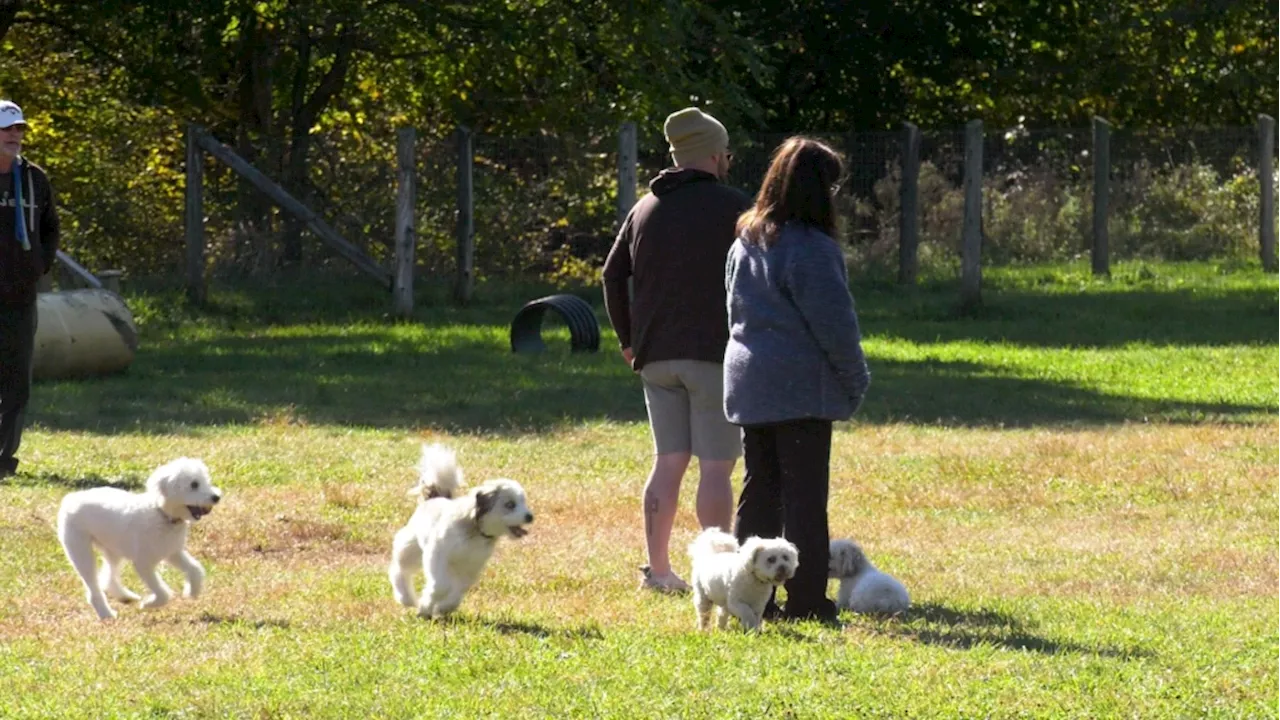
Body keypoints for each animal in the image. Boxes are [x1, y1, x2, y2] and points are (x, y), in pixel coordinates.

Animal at [57, 453, 224, 617]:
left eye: (205, 481)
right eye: (194, 484)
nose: (216, 497)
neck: (161, 513)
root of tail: (71, 498)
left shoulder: (172, 553)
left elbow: (195, 569)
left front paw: (192, 591)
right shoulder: (144, 564)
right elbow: (163, 593)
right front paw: (149, 604)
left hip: (113, 550)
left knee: (109, 576)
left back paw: (125, 596)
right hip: (80, 550)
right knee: (93, 586)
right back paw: (106, 614)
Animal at [386, 443, 532, 617]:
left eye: (523, 502)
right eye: (510, 504)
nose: (530, 517)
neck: (475, 530)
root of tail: (435, 497)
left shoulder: (471, 567)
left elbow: (459, 591)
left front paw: (443, 608)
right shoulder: (437, 555)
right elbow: (440, 586)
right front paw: (425, 607)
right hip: (411, 547)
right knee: (400, 570)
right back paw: (405, 598)